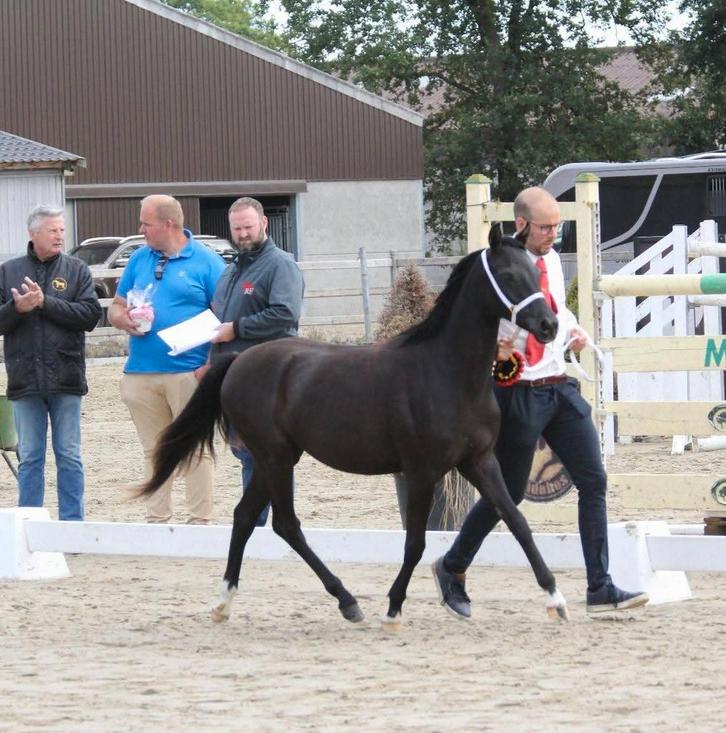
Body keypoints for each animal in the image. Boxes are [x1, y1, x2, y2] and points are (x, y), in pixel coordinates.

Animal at [136, 227, 569, 626]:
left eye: (534, 271)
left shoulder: (479, 461)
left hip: (270, 459)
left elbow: (516, 520)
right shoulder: (421, 471)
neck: (446, 373)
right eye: (509, 275)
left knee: (245, 517)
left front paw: (556, 599)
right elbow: (415, 542)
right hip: (276, 457)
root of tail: (239, 361)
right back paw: (346, 600)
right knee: (285, 524)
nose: (549, 325)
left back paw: (225, 603)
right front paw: (393, 608)